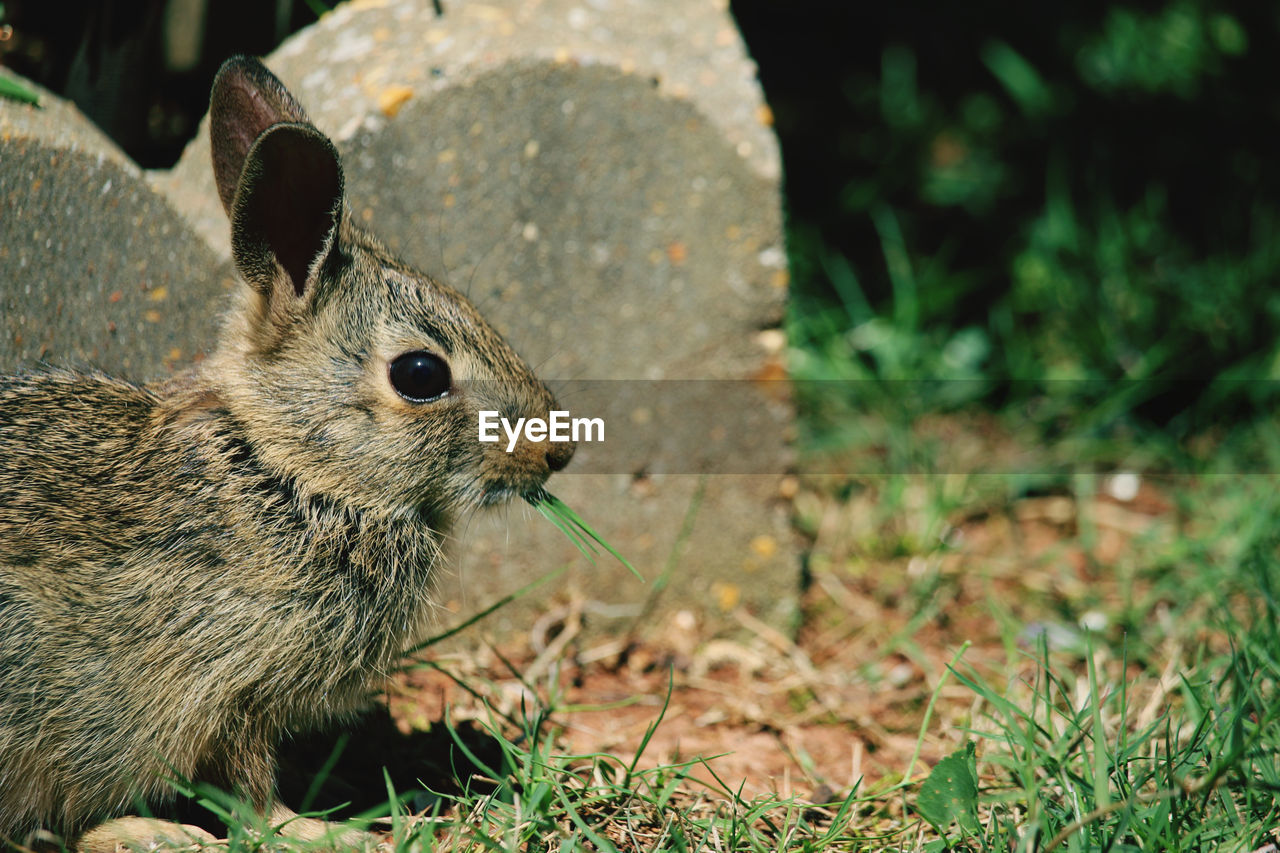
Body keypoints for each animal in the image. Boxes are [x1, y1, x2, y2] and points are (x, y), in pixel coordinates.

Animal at [0, 54, 576, 845]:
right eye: (420, 375)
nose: (555, 452)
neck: (289, 468)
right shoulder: (227, 687)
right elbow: (250, 786)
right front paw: (319, 830)